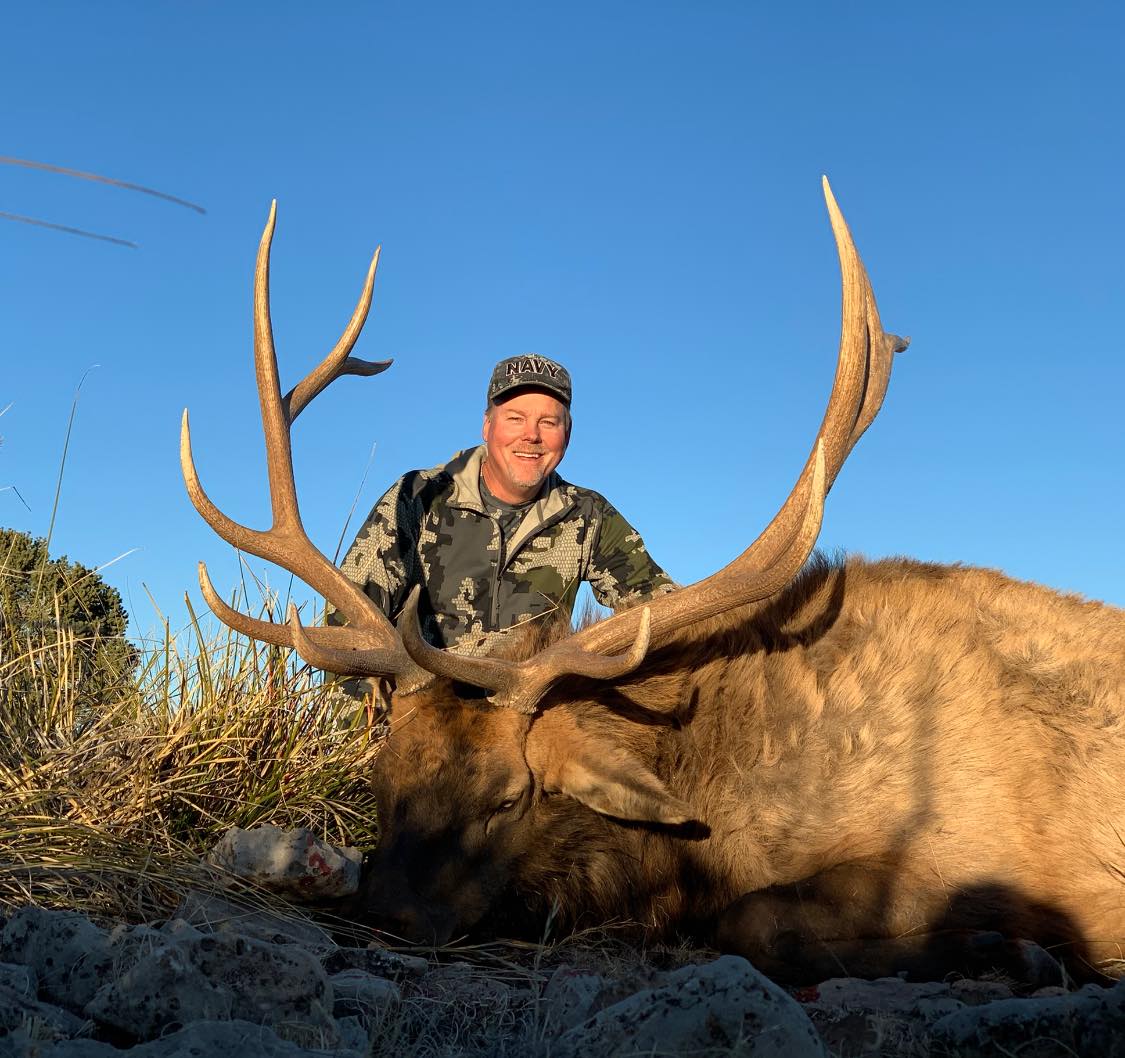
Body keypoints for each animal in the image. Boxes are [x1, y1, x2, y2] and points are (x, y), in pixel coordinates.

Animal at [182, 179, 1125, 984]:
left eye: (507, 799)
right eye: (383, 779)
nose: (387, 917)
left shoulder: (982, 852)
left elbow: (754, 920)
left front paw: (1011, 952)